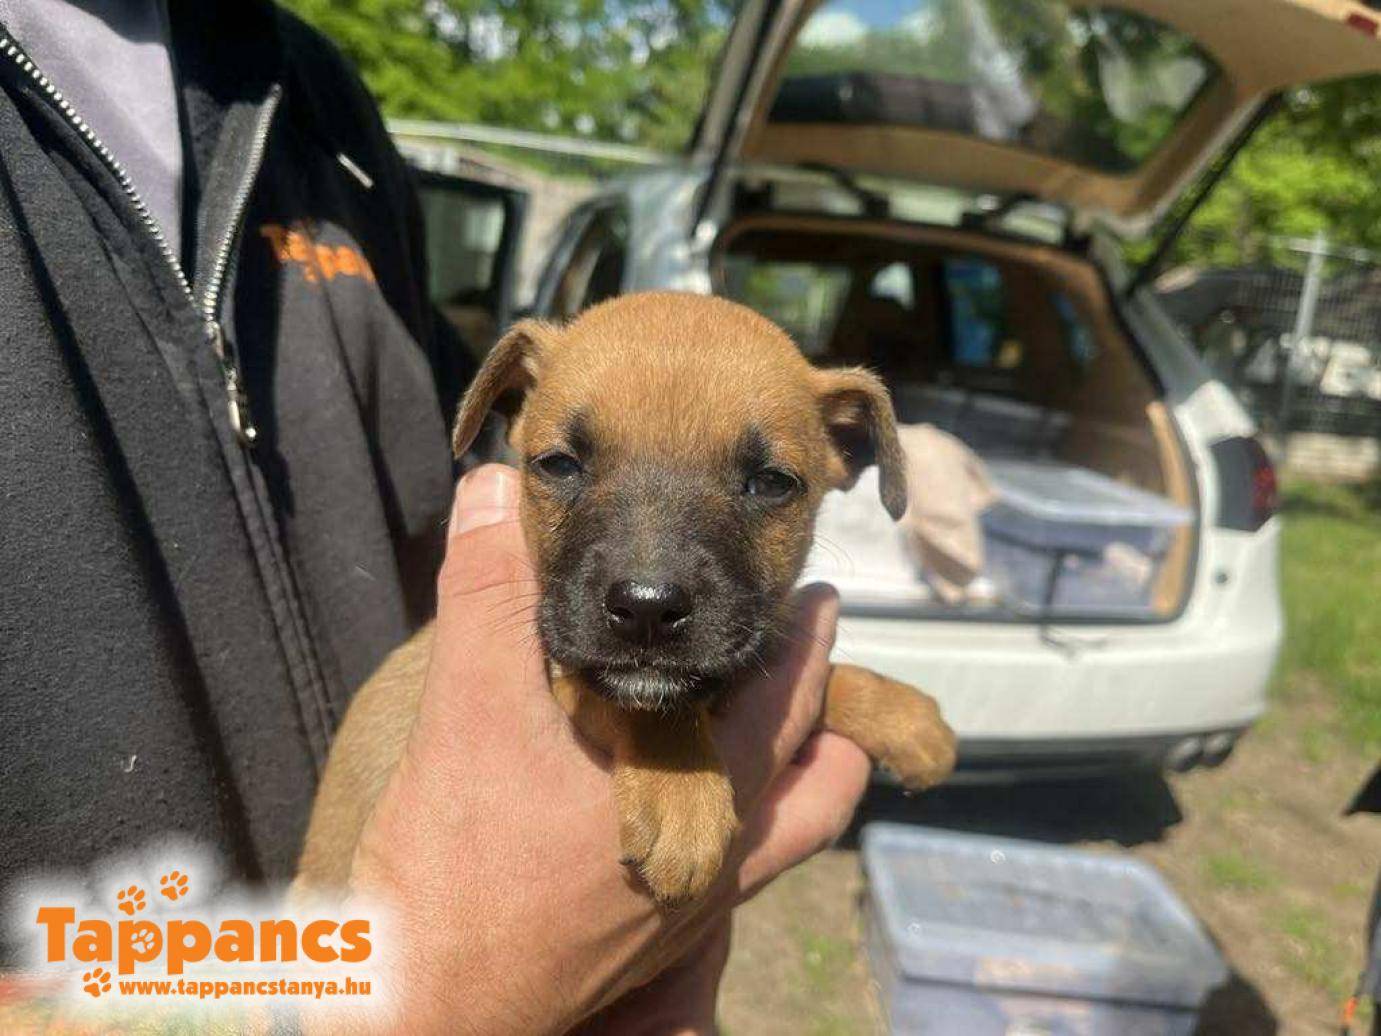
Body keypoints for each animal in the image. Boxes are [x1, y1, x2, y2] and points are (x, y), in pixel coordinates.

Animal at [297, 292, 956, 903]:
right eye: (559, 465)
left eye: (772, 483)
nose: (646, 609)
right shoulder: (567, 675)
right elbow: (641, 705)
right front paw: (680, 792)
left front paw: (904, 716)